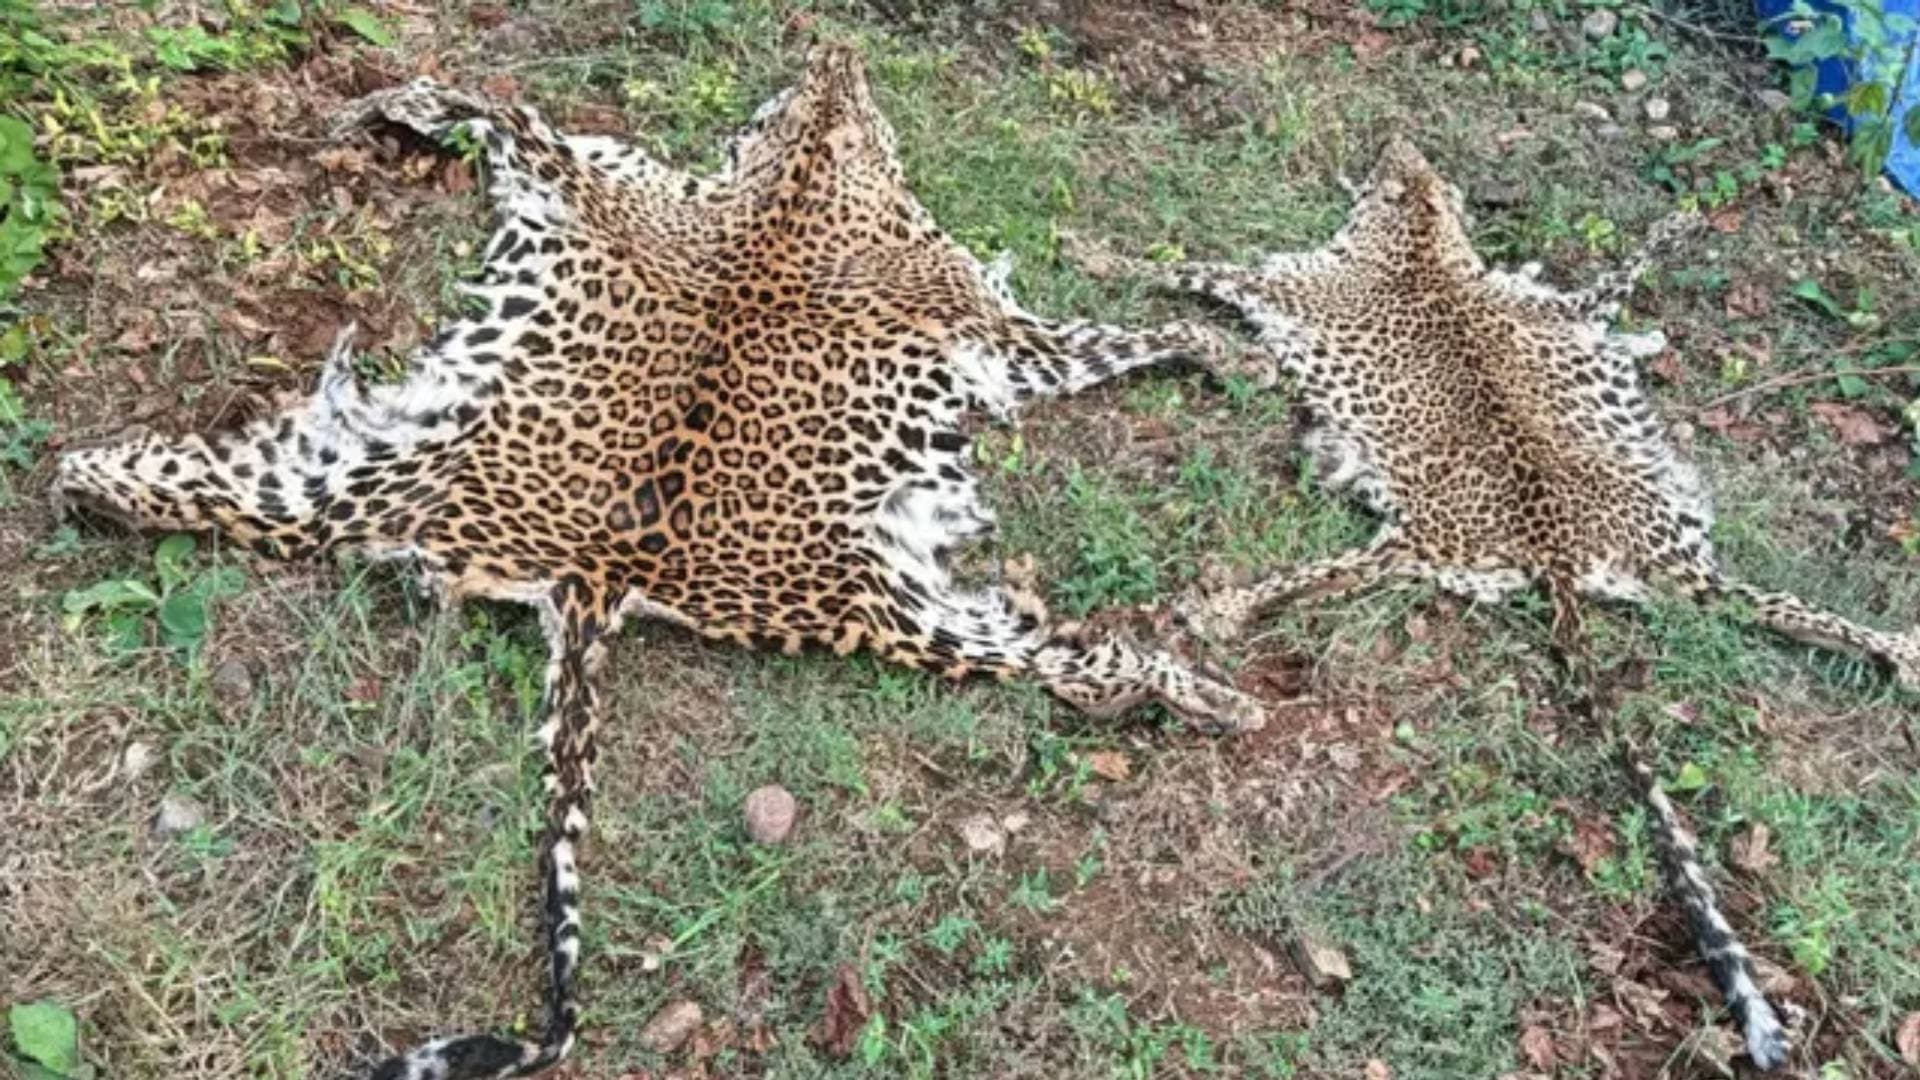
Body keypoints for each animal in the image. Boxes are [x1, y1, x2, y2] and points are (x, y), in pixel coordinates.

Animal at [52, 44, 1268, 1080]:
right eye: (811, 93)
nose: (833, 50)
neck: (801, 184)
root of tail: (598, 573)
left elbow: (498, 110)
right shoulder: (990, 324)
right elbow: (495, 102)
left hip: (369, 489)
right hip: (875, 594)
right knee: (1089, 663)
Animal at [1069, 136, 1920, 1073]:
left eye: (1399, 168)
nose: (1396, 138)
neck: (1422, 245)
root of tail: (1551, 545)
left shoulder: (1275, 287)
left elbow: (1185, 265)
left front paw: (1094, 253)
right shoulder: (1554, 305)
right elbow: (1610, 284)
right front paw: (1676, 241)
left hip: (1415, 537)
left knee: (1333, 576)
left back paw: (1223, 604)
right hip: (1678, 563)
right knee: (1760, 606)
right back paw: (1900, 650)